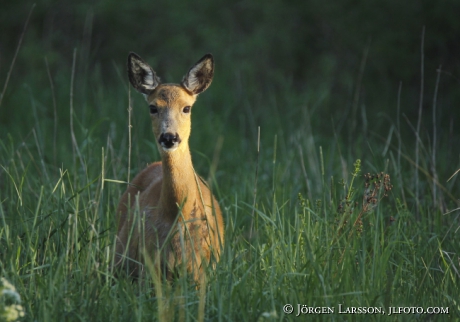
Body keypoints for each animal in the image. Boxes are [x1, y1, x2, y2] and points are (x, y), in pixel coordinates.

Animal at [116, 52, 226, 282]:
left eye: (187, 107)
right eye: (153, 107)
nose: (169, 137)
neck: (177, 214)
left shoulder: (204, 265)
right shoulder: (149, 264)